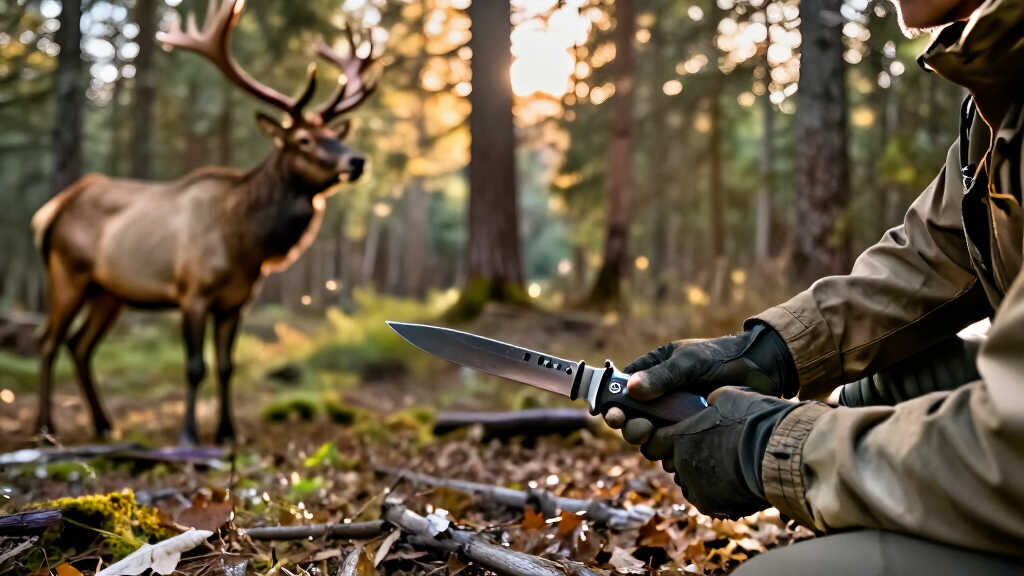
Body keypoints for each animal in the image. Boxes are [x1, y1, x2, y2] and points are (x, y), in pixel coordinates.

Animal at [31, 0, 378, 445]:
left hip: (108, 292)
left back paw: (104, 423)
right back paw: (44, 427)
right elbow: (196, 366)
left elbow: (228, 366)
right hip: (67, 274)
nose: (357, 160)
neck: (247, 242)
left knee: (80, 345)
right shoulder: (192, 292)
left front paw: (228, 432)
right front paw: (189, 435)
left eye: (336, 135)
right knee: (47, 340)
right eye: (304, 139)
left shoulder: (236, 301)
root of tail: (52, 211)